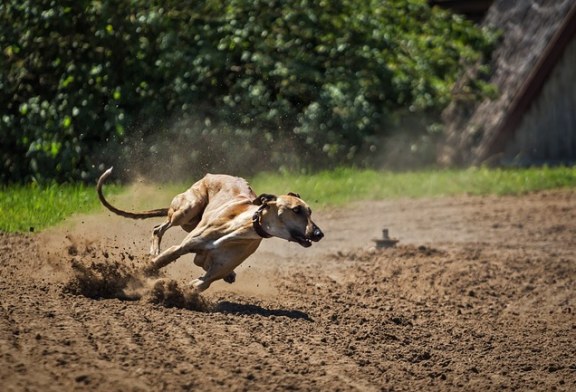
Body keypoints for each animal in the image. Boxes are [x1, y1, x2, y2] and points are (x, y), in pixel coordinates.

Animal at [96, 168, 322, 290]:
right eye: (296, 210)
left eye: (310, 211)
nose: (319, 234)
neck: (239, 228)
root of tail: (211, 174)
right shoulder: (180, 248)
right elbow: (159, 262)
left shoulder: (212, 274)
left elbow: (200, 283)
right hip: (187, 209)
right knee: (158, 228)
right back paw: (154, 251)